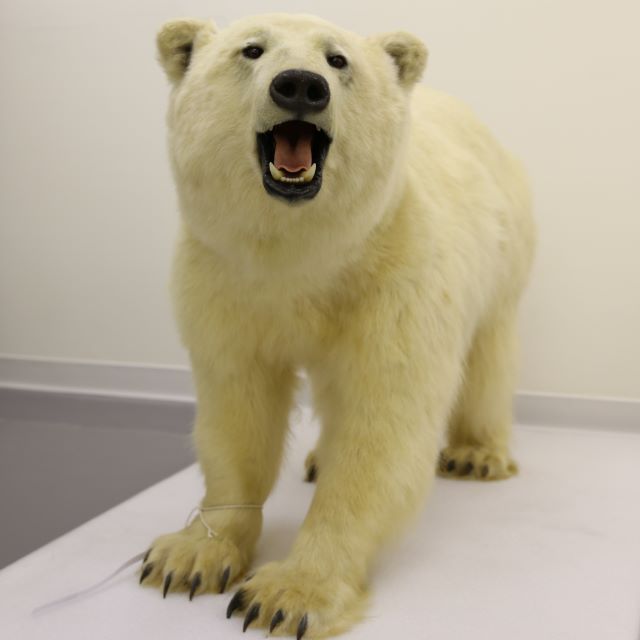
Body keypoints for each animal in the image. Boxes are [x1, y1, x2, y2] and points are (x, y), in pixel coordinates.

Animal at [140, 13, 535, 639]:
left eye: (338, 59)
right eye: (251, 50)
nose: (301, 86)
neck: (302, 255)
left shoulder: (395, 276)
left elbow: (381, 426)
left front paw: (286, 593)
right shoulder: (225, 282)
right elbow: (237, 411)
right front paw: (193, 554)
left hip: (503, 246)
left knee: (490, 353)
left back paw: (477, 453)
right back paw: (317, 458)